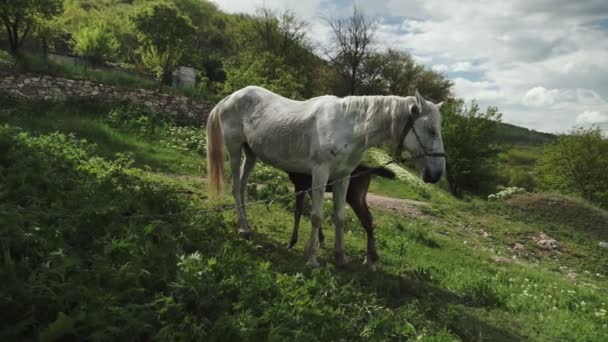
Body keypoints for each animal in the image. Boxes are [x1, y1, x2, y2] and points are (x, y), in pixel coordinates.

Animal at [207, 86, 444, 270]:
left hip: (251, 153)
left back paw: (246, 225)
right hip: (235, 148)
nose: (437, 174)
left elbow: (339, 217)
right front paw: (311, 258)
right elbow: (316, 216)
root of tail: (230, 97)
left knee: (243, 186)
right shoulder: (320, 174)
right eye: (431, 130)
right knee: (236, 187)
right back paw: (243, 228)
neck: (348, 126)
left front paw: (340, 257)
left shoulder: (343, 178)